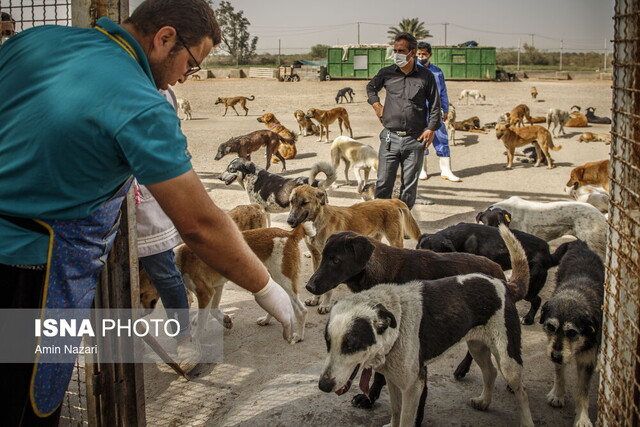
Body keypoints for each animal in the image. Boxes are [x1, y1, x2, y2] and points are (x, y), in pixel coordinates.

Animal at [284, 185, 420, 314]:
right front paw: (314, 299)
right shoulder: (316, 256)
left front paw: (325, 304)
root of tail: (391, 200)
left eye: (304, 202)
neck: (317, 222)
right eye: (291, 201)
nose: (289, 220)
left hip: (395, 241)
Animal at [318, 226, 536, 426]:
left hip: (507, 359)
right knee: (490, 371)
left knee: (522, 391)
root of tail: (503, 283)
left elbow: (407, 416)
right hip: (477, 345)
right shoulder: (394, 379)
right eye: (328, 343)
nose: (323, 385)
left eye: (351, 345)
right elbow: (395, 410)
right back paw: (483, 401)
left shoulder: (413, 384)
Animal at [418, 222, 556, 326]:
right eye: (418, 248)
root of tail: (548, 253)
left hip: (530, 286)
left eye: (433, 250)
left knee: (537, 300)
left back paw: (528, 318)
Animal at [536, 241, 604, 427]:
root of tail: (580, 244)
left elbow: (582, 392)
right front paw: (558, 394)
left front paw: (582, 418)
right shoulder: (556, 349)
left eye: (572, 332)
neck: (576, 294)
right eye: (550, 327)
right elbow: (559, 374)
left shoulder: (587, 359)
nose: (555, 356)